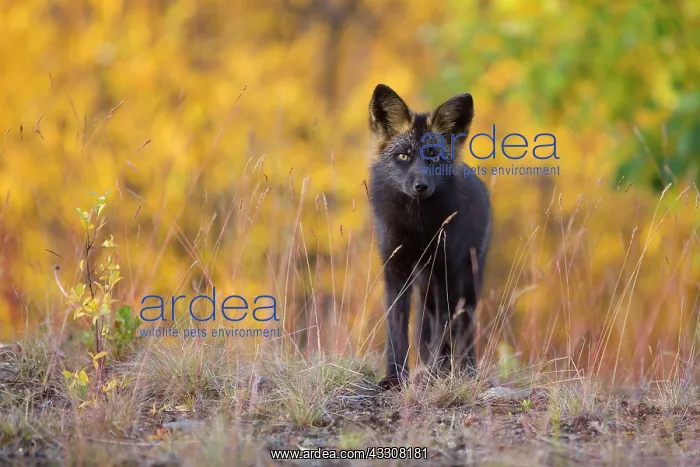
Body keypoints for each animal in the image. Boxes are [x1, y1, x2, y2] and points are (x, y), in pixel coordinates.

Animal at [367, 84, 492, 390]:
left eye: (434, 156)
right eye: (404, 156)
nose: (420, 186)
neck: (418, 228)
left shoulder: (446, 271)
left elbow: (444, 333)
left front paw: (438, 375)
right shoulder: (395, 270)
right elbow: (397, 331)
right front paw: (394, 378)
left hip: (465, 282)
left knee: (462, 329)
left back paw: (464, 371)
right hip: (425, 285)